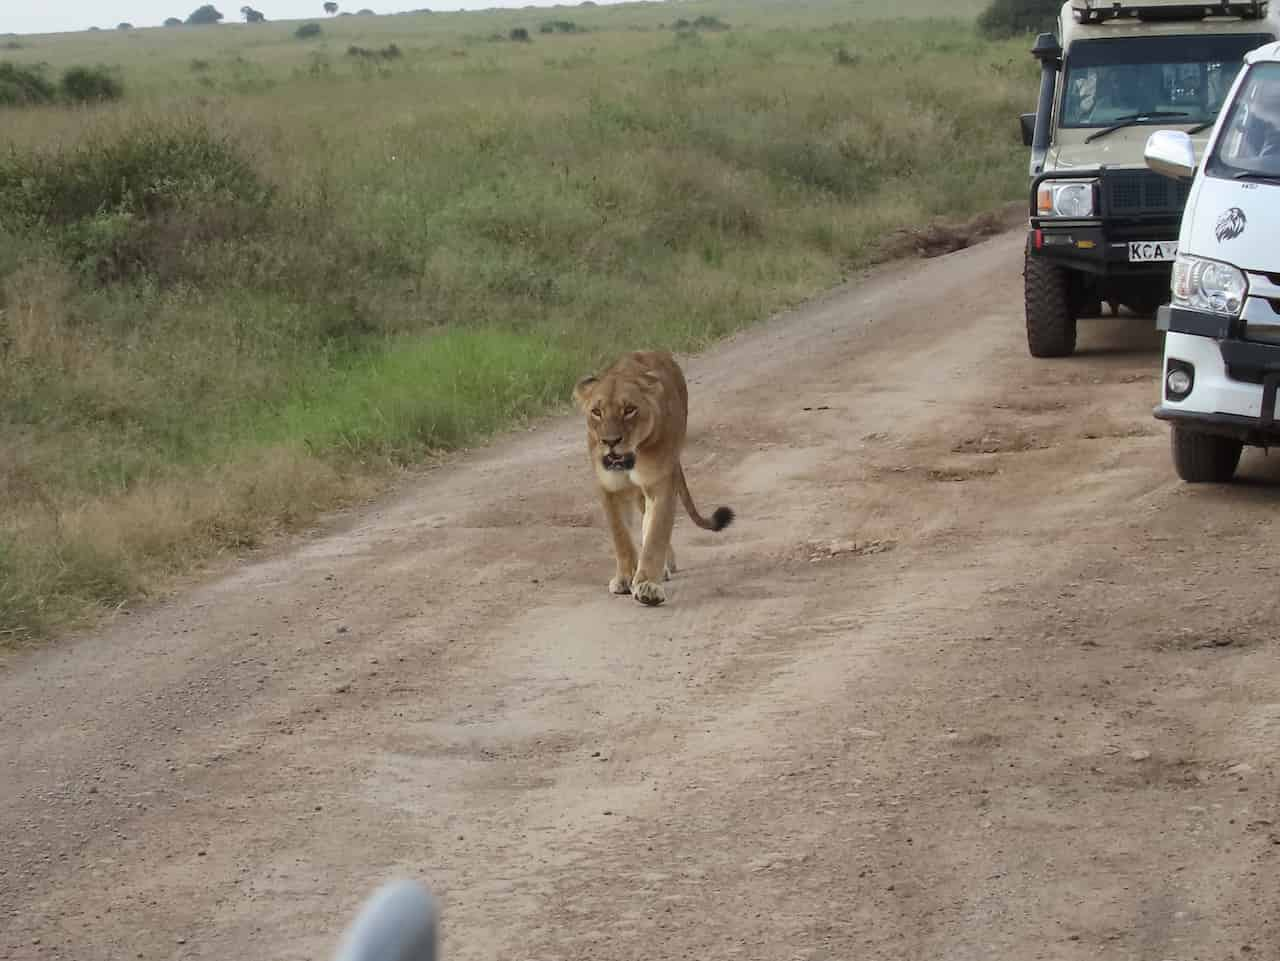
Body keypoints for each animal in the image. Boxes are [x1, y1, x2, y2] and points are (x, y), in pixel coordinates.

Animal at [576, 350, 737, 609]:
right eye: (596, 412)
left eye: (629, 410)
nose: (610, 441)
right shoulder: (610, 488)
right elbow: (620, 535)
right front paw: (625, 578)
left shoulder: (660, 484)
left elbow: (655, 535)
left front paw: (648, 585)